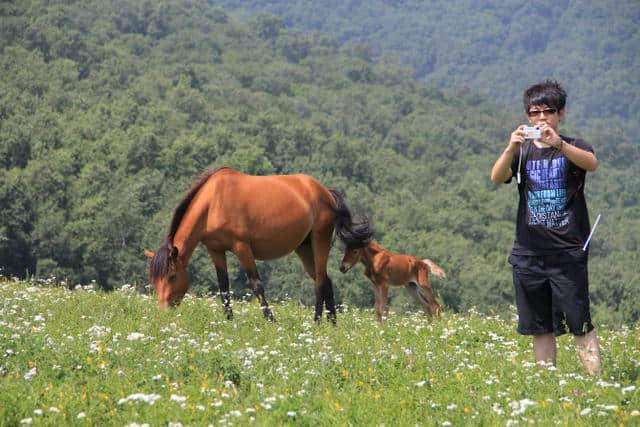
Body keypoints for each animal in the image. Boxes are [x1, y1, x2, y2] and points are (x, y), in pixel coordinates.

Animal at [142, 167, 372, 324]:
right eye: (154, 280)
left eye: (172, 276)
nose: (162, 313)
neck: (214, 202)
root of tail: (325, 192)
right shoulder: (215, 250)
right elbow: (224, 288)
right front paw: (229, 320)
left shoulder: (242, 247)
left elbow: (256, 285)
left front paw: (271, 320)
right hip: (304, 248)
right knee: (325, 280)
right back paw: (331, 324)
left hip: (319, 241)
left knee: (320, 282)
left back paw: (316, 322)